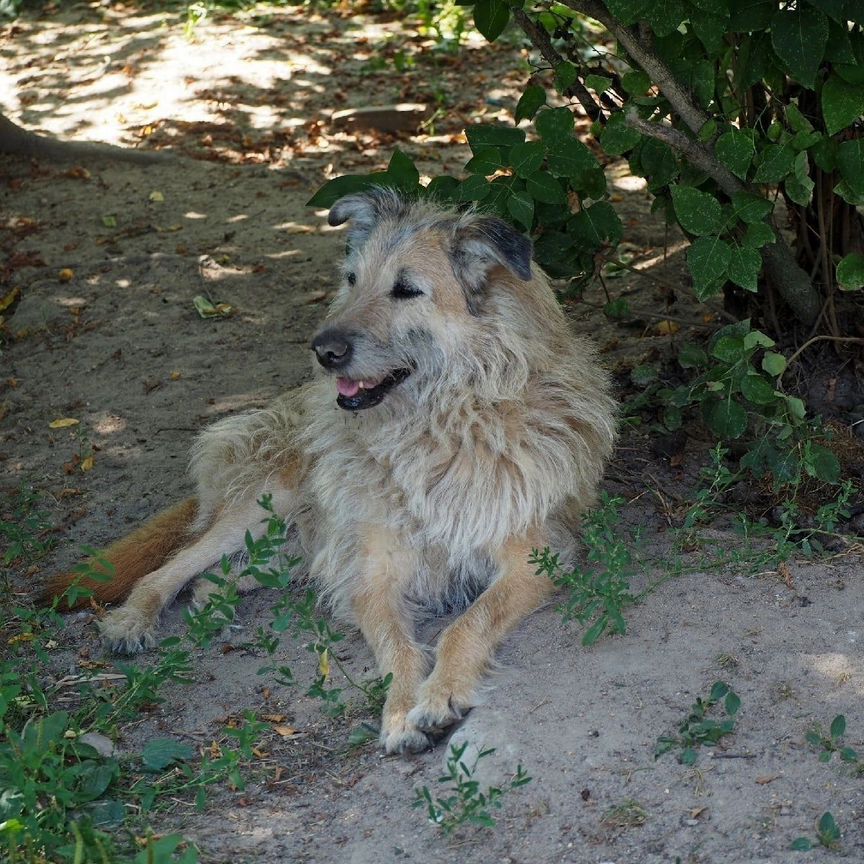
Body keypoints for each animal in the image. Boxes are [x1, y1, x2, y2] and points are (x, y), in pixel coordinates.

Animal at [49, 191, 616, 756]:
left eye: (407, 289)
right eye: (351, 278)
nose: (323, 351)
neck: (437, 426)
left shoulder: (534, 557)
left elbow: (464, 626)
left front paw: (438, 696)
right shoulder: (373, 571)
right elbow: (397, 649)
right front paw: (402, 713)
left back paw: (215, 599)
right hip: (267, 502)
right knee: (173, 565)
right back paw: (134, 618)